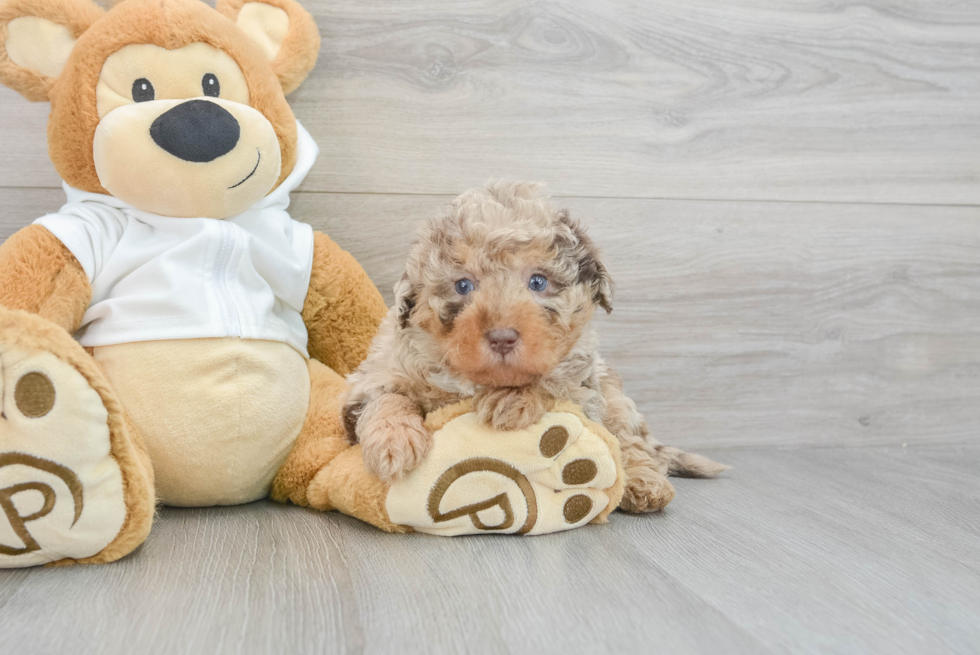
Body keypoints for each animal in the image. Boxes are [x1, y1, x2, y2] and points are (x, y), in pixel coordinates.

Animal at [344, 181, 728, 512]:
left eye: (538, 282)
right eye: (463, 285)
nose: (502, 337)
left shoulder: (584, 381)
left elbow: (552, 382)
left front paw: (512, 400)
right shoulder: (375, 374)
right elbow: (387, 397)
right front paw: (394, 443)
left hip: (618, 402)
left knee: (630, 444)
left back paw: (645, 484)